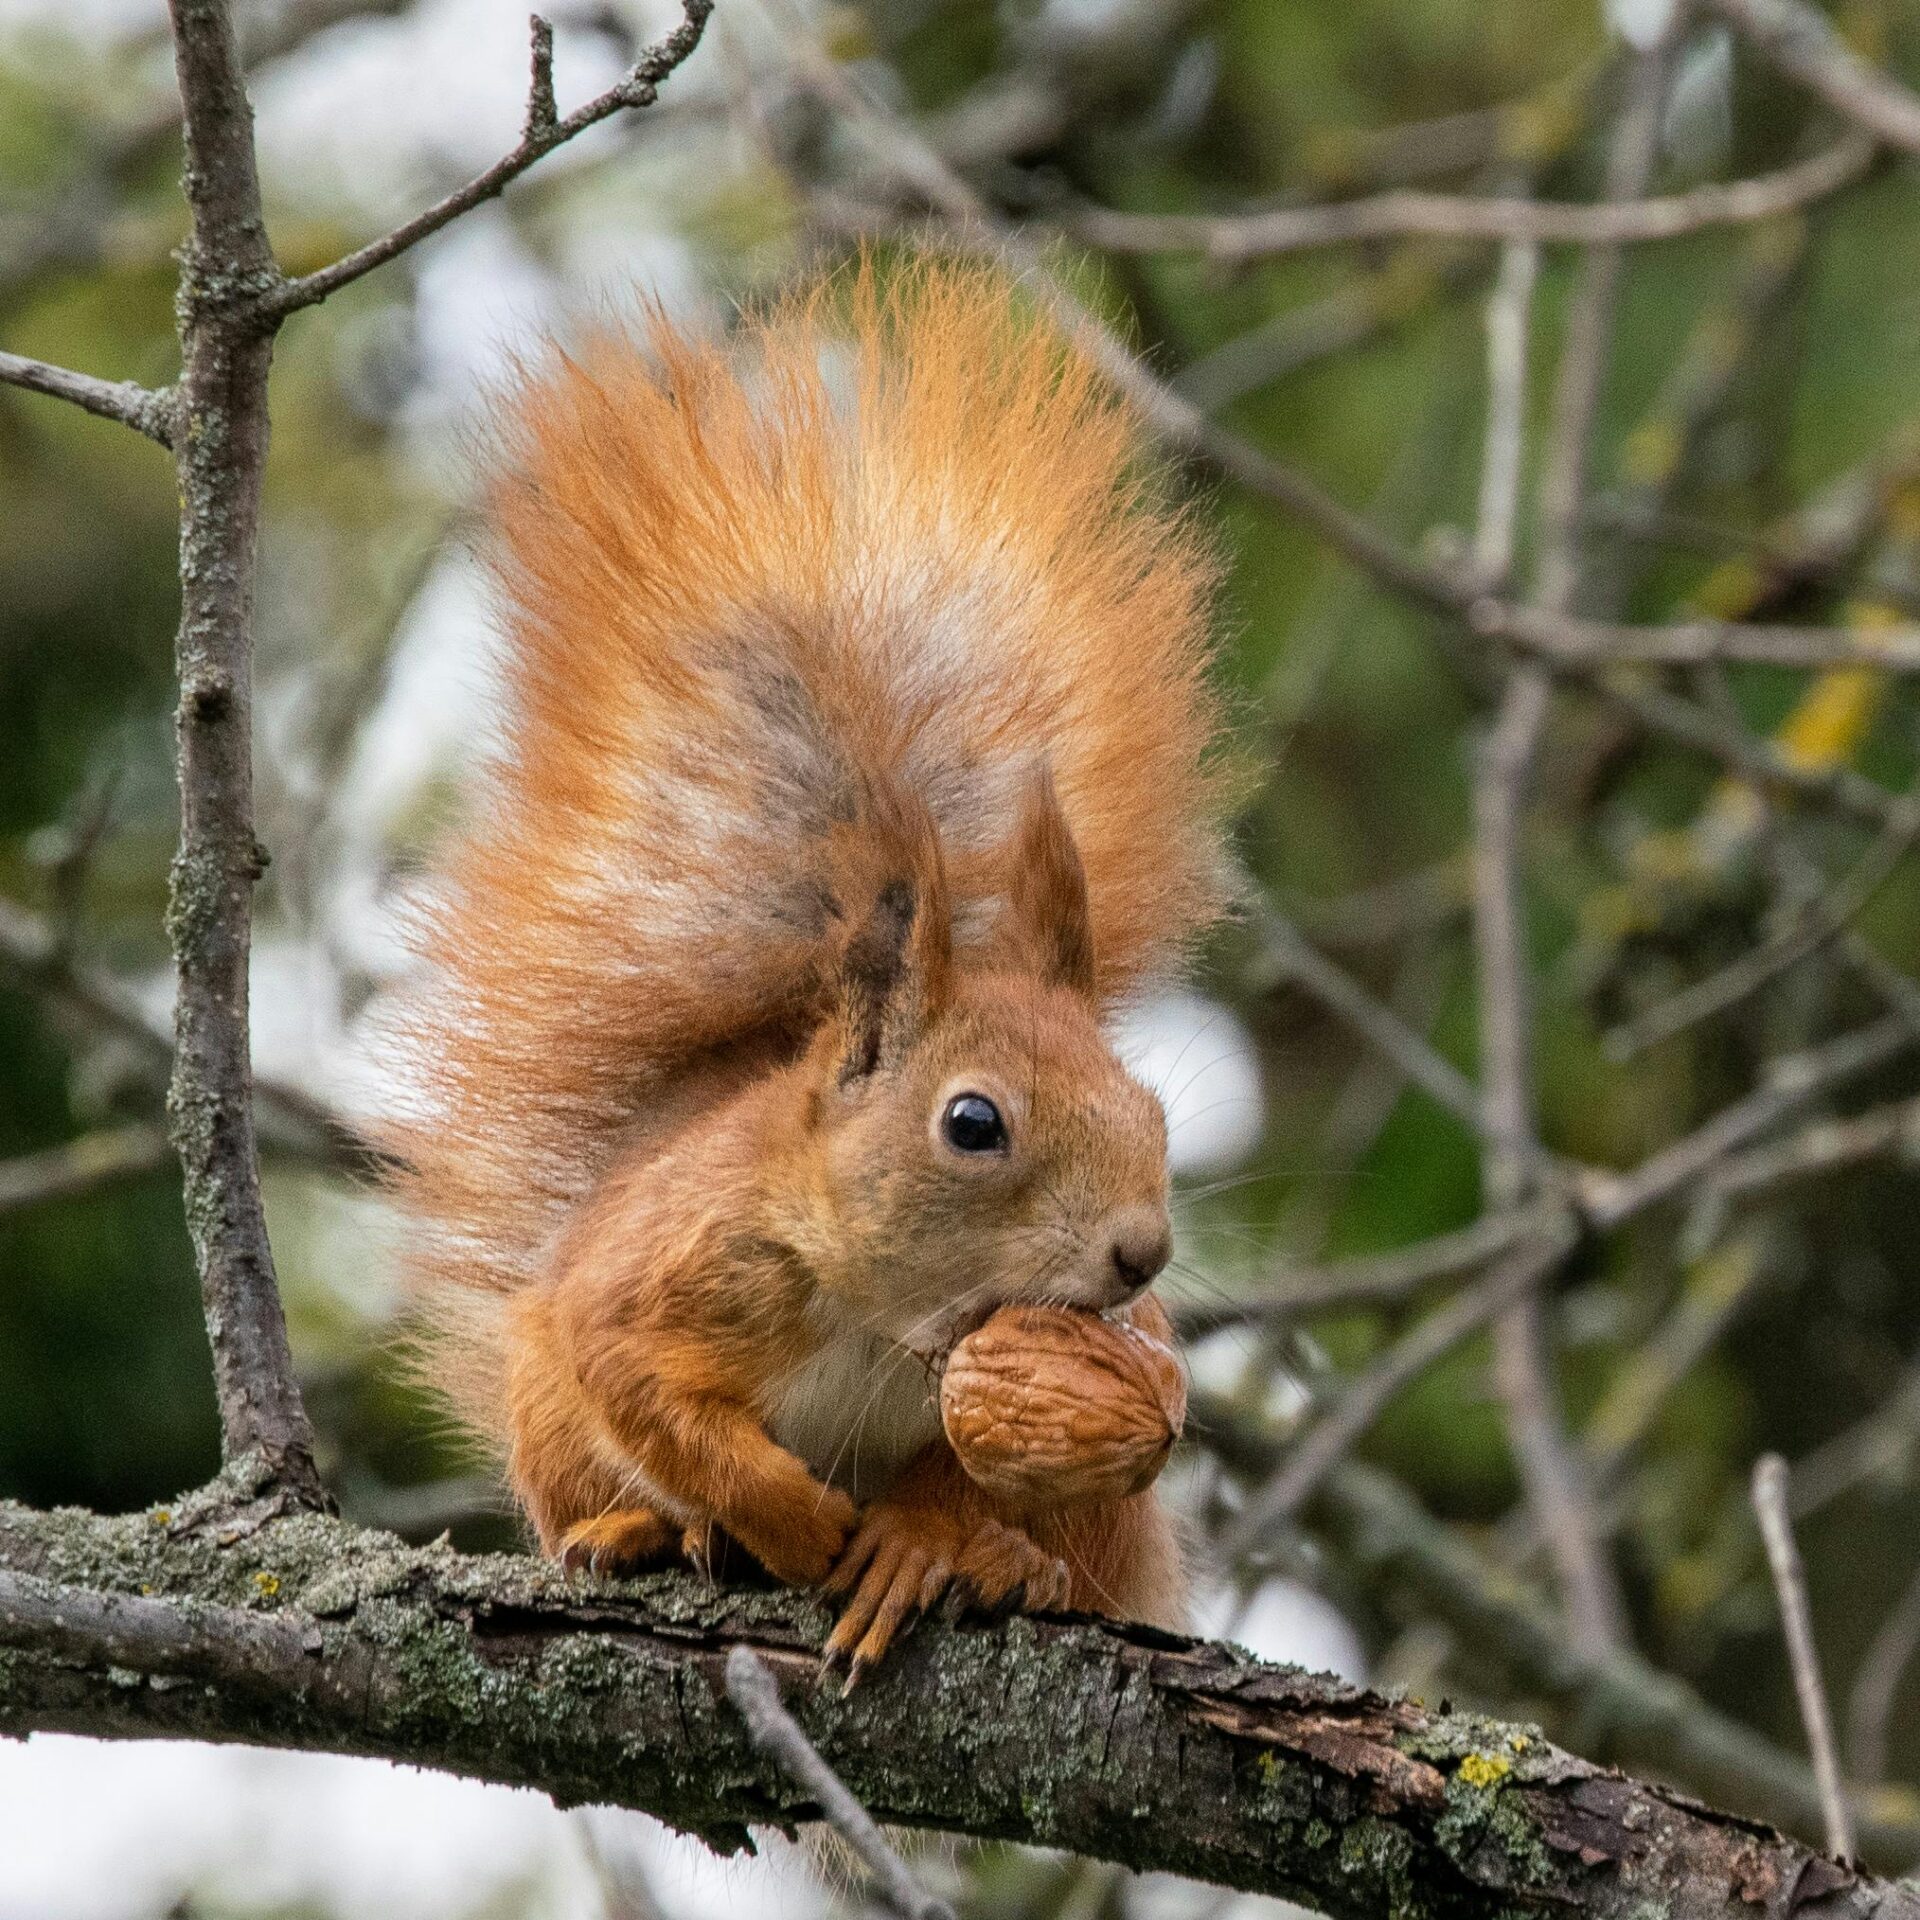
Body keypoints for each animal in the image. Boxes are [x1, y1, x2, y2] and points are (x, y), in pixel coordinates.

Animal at [378, 259, 1228, 1681]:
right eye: (973, 1124)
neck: (890, 1321)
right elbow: (654, 1398)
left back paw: (1019, 1567)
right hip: (545, 1417)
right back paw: (642, 1533)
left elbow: (959, 1477)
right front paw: (777, 1516)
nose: (1141, 1255)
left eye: (1152, 1108)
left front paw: (920, 1544)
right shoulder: (660, 1280)